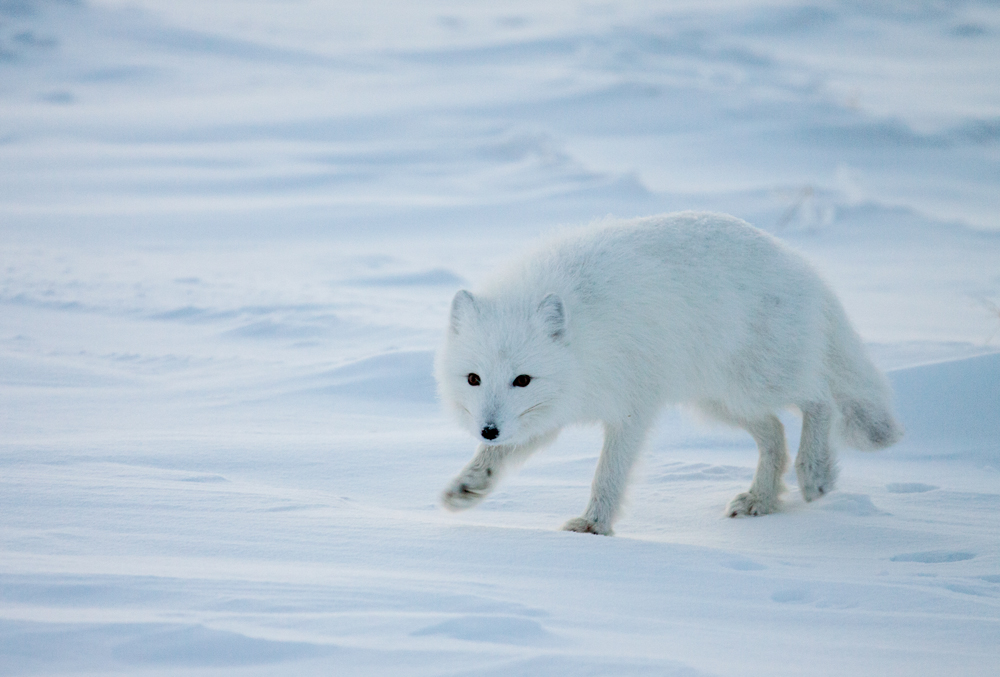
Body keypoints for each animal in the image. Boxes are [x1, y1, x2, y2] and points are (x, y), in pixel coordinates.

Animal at [434, 211, 904, 532]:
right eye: (474, 379)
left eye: (522, 380)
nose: (488, 429)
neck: (583, 341)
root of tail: (801, 263)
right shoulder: (548, 413)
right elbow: (497, 457)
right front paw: (469, 485)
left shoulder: (632, 407)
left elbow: (608, 473)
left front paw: (593, 526)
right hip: (718, 400)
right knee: (775, 433)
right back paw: (760, 500)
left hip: (755, 381)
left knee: (819, 400)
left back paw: (815, 474)